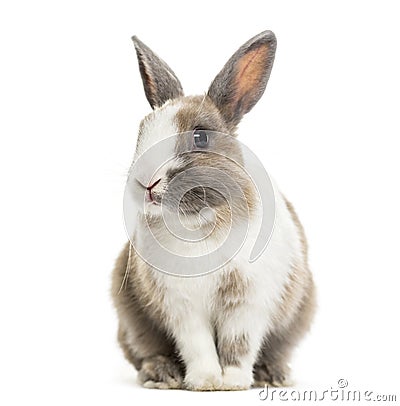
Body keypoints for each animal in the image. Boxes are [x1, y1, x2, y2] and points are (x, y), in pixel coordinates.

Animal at [110, 30, 316, 392]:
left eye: (201, 137)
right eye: (142, 131)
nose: (145, 182)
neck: (199, 223)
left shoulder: (248, 303)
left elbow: (239, 345)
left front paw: (232, 382)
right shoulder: (182, 308)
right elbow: (198, 345)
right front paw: (206, 381)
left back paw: (274, 375)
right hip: (131, 321)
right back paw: (162, 375)